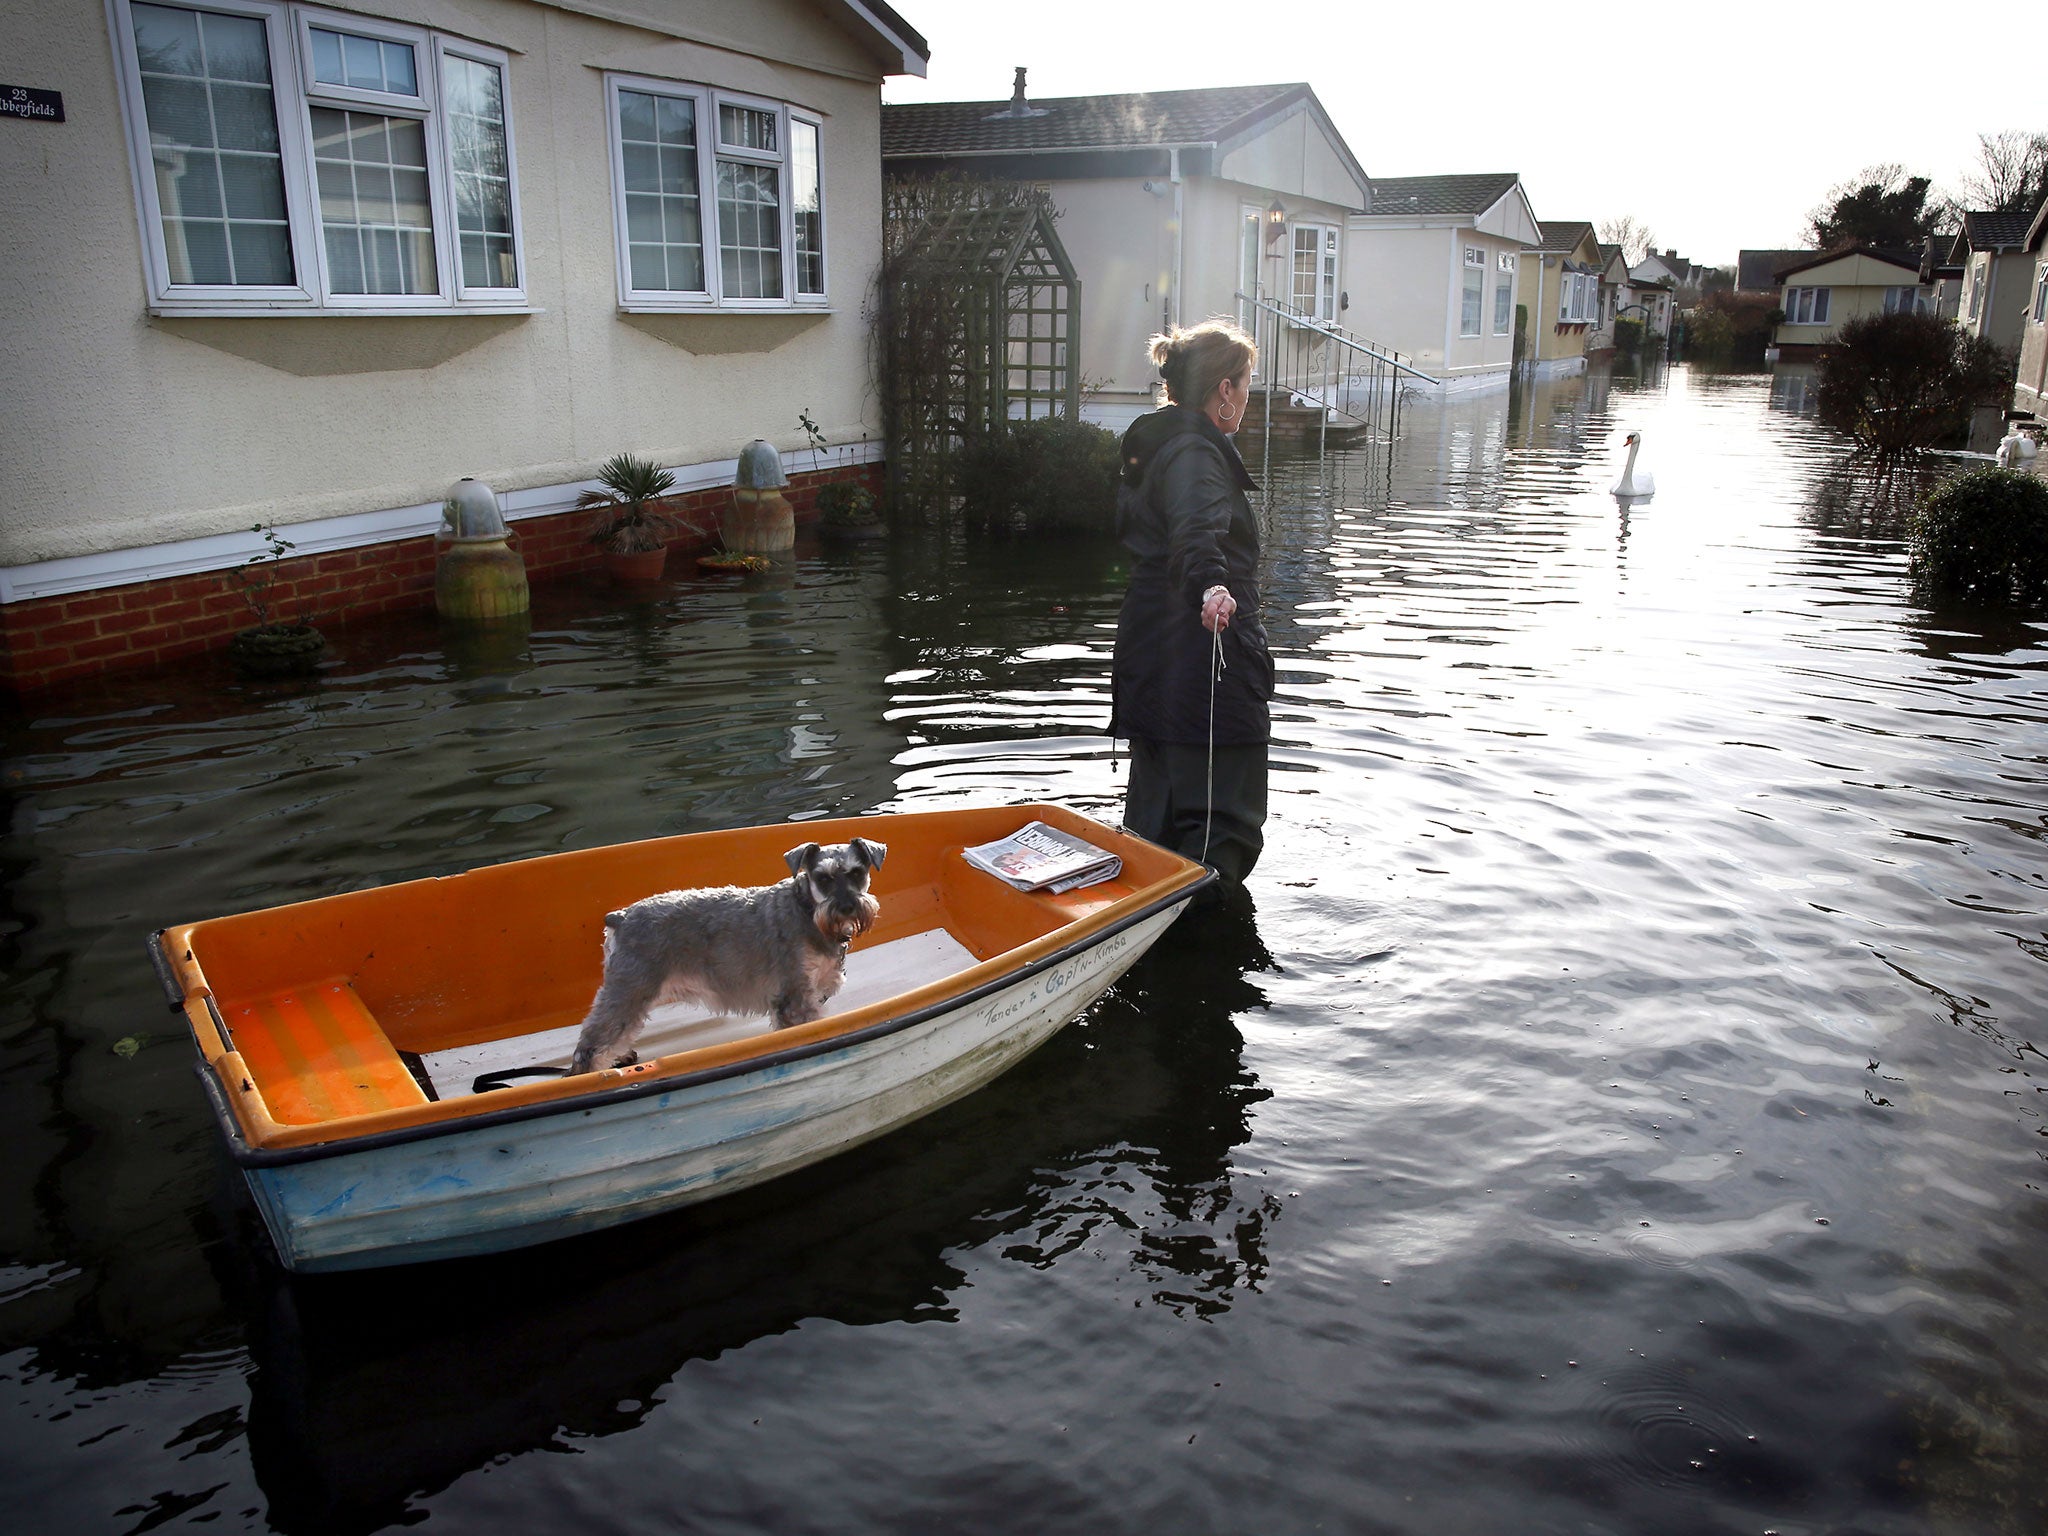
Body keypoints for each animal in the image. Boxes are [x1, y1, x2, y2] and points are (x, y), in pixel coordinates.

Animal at [565, 835, 884, 1073]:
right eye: (823, 878)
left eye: (858, 872)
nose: (847, 907)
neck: (808, 911)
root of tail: (621, 917)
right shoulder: (796, 997)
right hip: (631, 990)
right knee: (591, 1045)